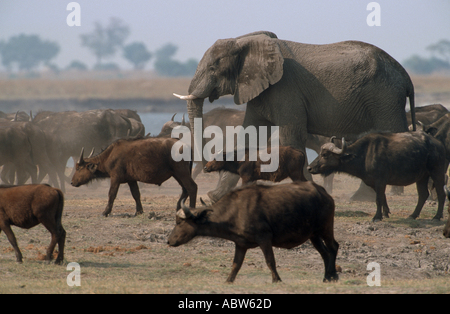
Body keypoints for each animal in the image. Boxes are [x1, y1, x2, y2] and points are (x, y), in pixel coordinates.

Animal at [168, 180, 338, 284]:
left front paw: (277, 280)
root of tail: (323, 192)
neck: (236, 211)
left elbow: (270, 261)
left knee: (333, 247)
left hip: (326, 228)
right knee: (324, 253)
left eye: (179, 222)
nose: (169, 241)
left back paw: (334, 276)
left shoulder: (264, 239)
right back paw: (326, 277)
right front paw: (228, 280)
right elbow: (236, 264)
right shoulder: (240, 244)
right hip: (314, 235)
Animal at [174, 30, 416, 202]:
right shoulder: (259, 89)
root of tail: (406, 77)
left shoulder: (286, 89)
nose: (206, 167)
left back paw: (370, 196)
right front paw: (212, 198)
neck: (245, 41)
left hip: (384, 99)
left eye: (213, 68)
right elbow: (250, 134)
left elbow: (291, 136)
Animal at [306, 131, 446, 222]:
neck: (364, 155)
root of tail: (439, 144)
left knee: (441, 193)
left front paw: (377, 217)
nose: (309, 168)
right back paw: (413, 215)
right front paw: (386, 213)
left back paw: (437, 216)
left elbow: (378, 199)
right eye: (320, 153)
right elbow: (382, 197)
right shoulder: (374, 183)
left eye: (325, 155)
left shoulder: (380, 181)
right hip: (422, 177)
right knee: (423, 194)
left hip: (437, 173)